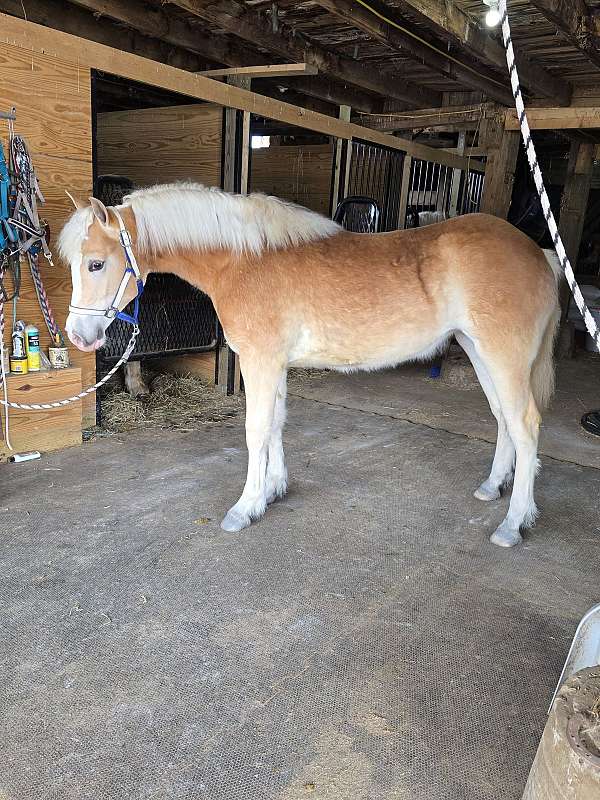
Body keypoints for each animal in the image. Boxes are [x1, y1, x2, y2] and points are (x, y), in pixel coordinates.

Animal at [59, 182, 561, 548]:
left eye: (97, 264)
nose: (79, 336)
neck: (244, 262)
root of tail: (540, 255)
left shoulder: (259, 360)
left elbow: (256, 430)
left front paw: (245, 508)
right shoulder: (274, 363)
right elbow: (277, 424)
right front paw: (273, 491)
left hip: (503, 357)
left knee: (525, 426)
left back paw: (513, 524)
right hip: (478, 352)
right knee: (502, 419)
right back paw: (492, 487)